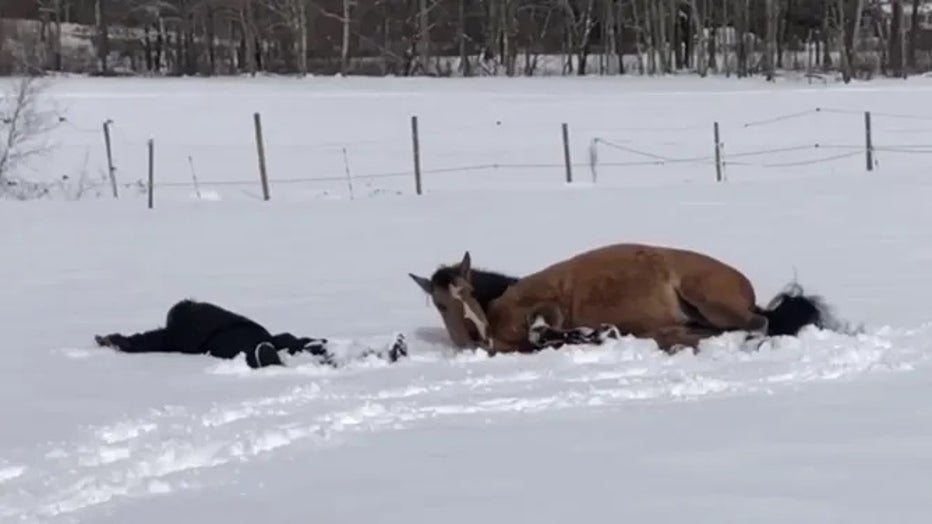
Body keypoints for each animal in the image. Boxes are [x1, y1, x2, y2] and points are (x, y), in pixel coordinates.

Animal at [412, 244, 832, 354]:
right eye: (441, 303)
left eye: (468, 291)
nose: (476, 335)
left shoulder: (547, 304)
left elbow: (542, 330)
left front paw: (591, 334)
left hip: (709, 301)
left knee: (759, 325)